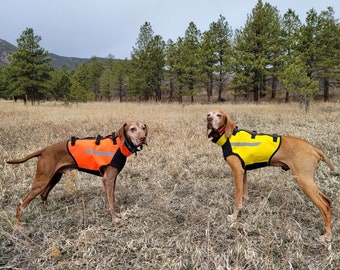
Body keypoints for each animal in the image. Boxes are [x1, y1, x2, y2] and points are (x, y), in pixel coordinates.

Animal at [6, 121, 147, 229]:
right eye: (132, 129)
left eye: (143, 128)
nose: (143, 138)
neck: (119, 144)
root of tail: (44, 150)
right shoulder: (108, 179)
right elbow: (111, 202)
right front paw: (114, 220)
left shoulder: (113, 178)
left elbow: (111, 198)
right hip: (42, 181)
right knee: (21, 204)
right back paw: (17, 227)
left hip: (54, 178)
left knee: (43, 194)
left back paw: (47, 210)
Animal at [207, 109, 334, 243]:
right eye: (208, 114)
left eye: (219, 115)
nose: (209, 119)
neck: (229, 136)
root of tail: (313, 148)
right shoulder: (244, 171)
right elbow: (243, 196)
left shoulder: (237, 171)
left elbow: (237, 200)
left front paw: (233, 217)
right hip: (308, 180)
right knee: (327, 201)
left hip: (303, 180)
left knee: (325, 207)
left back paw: (328, 235)